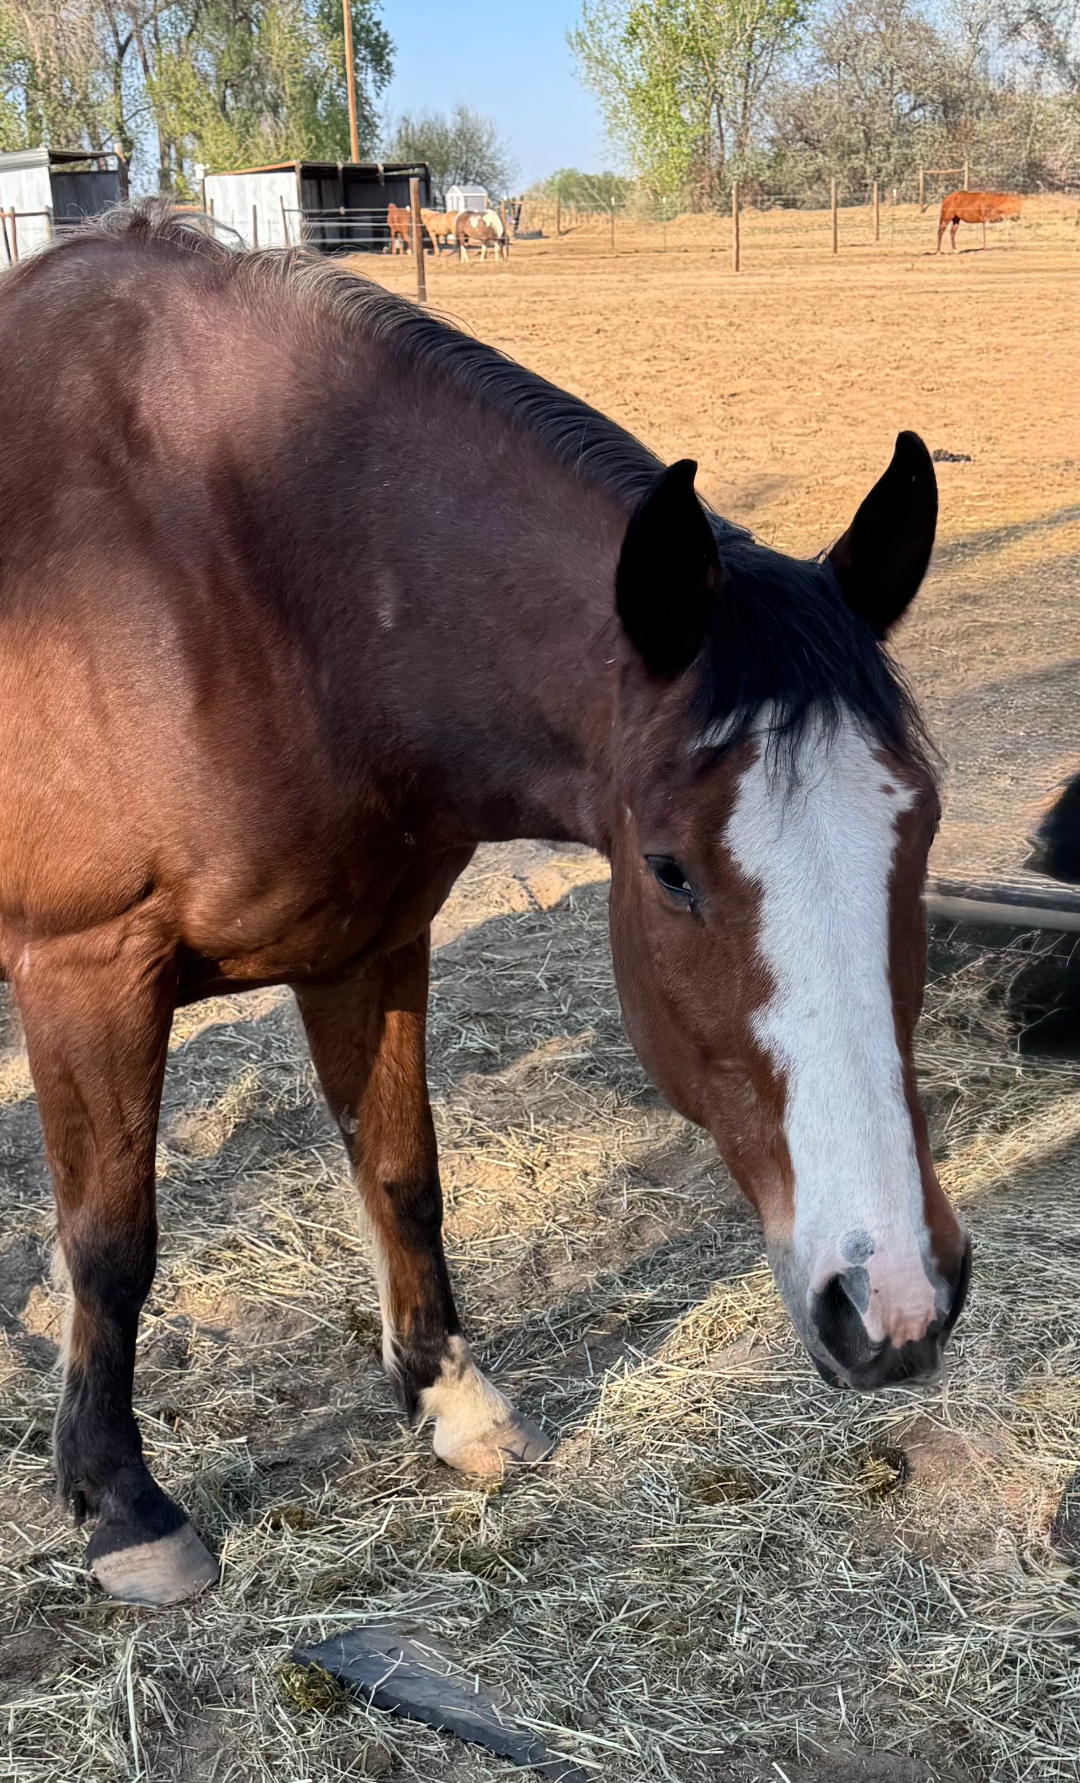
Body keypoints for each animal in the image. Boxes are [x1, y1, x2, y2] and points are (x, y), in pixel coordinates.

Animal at [0, 208, 970, 1606]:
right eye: (670, 869)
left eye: (922, 826)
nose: (895, 1301)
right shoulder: (88, 968)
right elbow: (113, 1237)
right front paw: (122, 1502)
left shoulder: (369, 943)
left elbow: (403, 1176)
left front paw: (452, 1400)